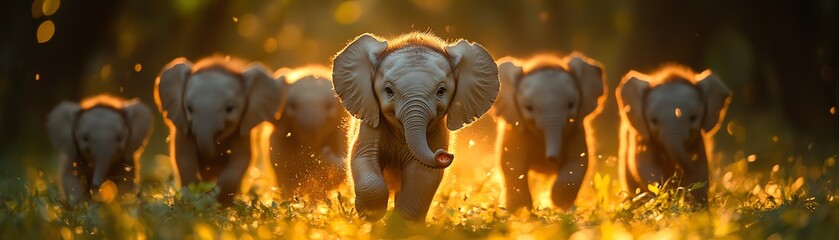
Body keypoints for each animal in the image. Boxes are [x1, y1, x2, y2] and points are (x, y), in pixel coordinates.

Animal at [153, 57, 280, 205]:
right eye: (189, 108)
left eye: (230, 109)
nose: (210, 161)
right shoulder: (182, 125)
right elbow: (184, 159)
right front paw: (197, 199)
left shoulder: (244, 130)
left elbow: (241, 161)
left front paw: (216, 201)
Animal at [330, 32, 498, 222]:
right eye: (388, 90)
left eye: (441, 91)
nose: (444, 155)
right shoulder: (370, 123)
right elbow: (363, 157)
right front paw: (369, 214)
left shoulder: (436, 132)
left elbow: (422, 176)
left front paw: (397, 224)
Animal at [616, 66, 728, 203]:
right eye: (653, 120)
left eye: (693, 118)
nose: (677, 176)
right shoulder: (640, 135)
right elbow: (644, 165)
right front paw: (661, 197)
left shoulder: (698, 140)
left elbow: (700, 168)